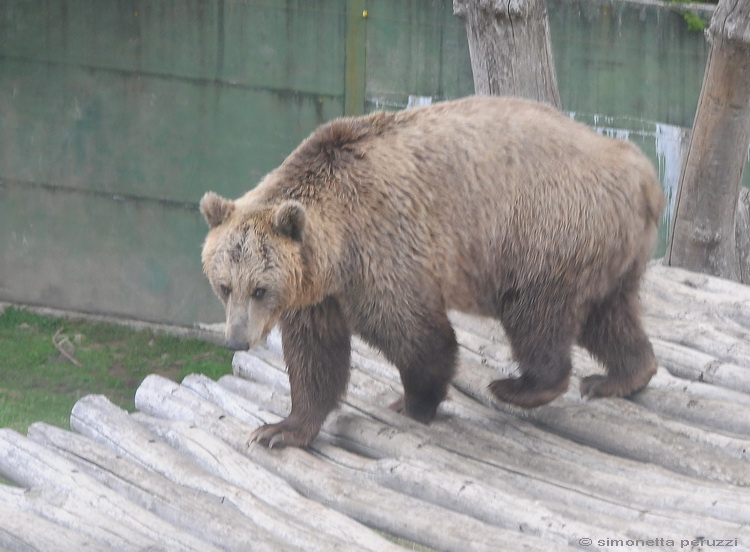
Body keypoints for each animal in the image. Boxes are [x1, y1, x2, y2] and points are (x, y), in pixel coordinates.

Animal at [203, 95, 668, 448]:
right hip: (607, 247)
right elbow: (314, 356)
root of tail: (643, 174)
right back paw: (621, 376)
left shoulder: (382, 250)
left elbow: (418, 336)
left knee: (535, 314)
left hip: (546, 229)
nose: (236, 340)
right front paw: (280, 429)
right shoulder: (318, 293)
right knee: (608, 315)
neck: (336, 250)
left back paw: (519, 386)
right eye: (224, 286)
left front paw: (415, 402)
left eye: (259, 289)